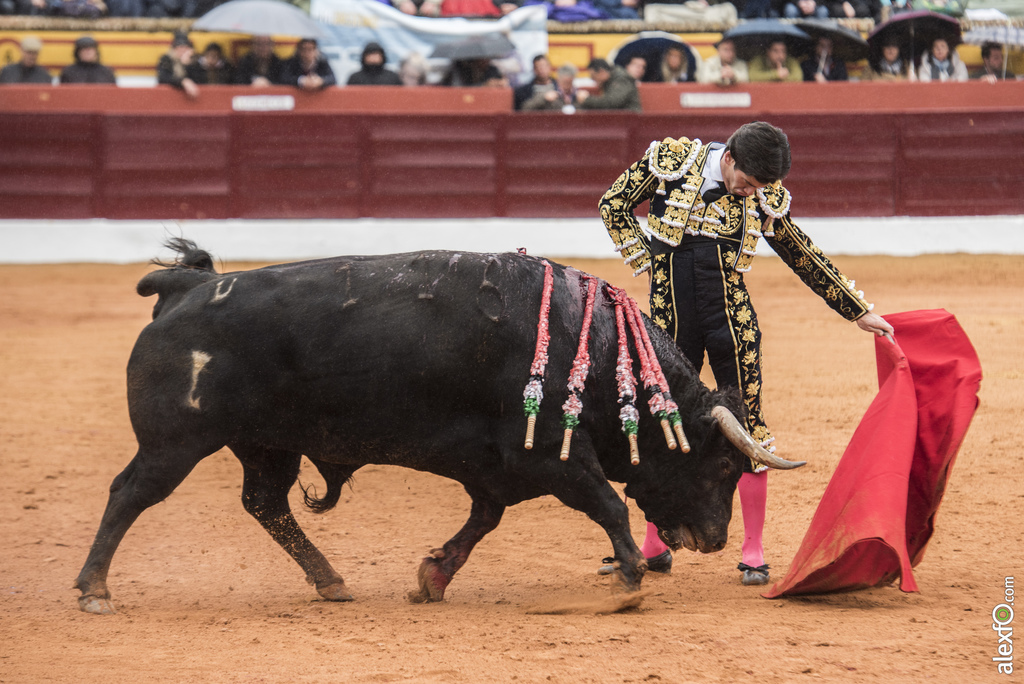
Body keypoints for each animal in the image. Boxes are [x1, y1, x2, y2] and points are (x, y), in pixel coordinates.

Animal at [75, 240, 802, 614]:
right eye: (722, 466)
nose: (714, 539)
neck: (597, 349)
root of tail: (185, 288)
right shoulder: (551, 457)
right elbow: (607, 504)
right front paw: (626, 580)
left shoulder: (498, 469)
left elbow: (483, 520)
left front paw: (433, 577)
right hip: (175, 443)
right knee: (130, 493)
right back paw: (94, 589)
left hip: (267, 446)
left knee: (265, 503)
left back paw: (331, 582)